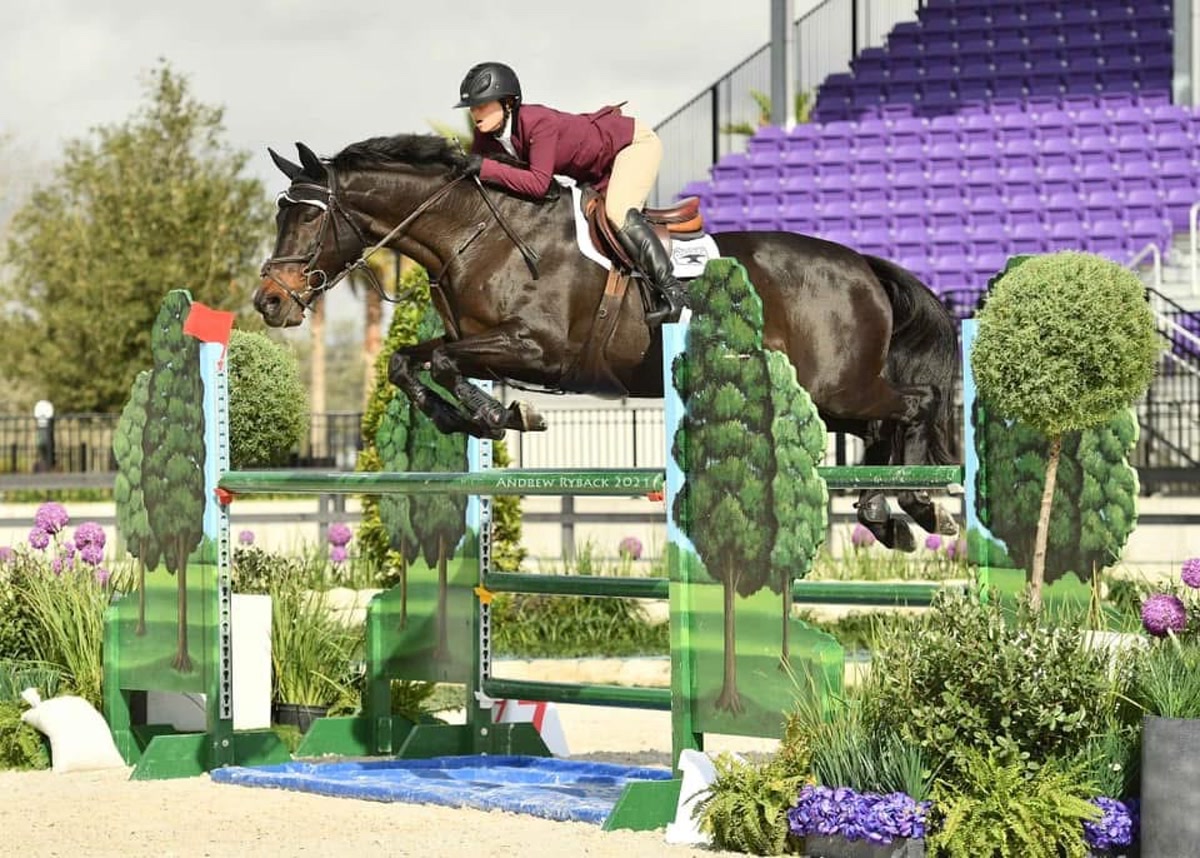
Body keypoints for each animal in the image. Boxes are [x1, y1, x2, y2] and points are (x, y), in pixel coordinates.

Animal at [254, 136, 961, 551]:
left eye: (310, 217)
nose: (269, 302)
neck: (479, 232)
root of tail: (862, 264)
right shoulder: (477, 338)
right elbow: (410, 362)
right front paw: (474, 418)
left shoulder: (539, 350)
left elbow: (447, 363)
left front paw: (504, 414)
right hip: (831, 396)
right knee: (882, 428)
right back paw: (886, 513)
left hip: (841, 384)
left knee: (917, 405)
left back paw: (919, 506)